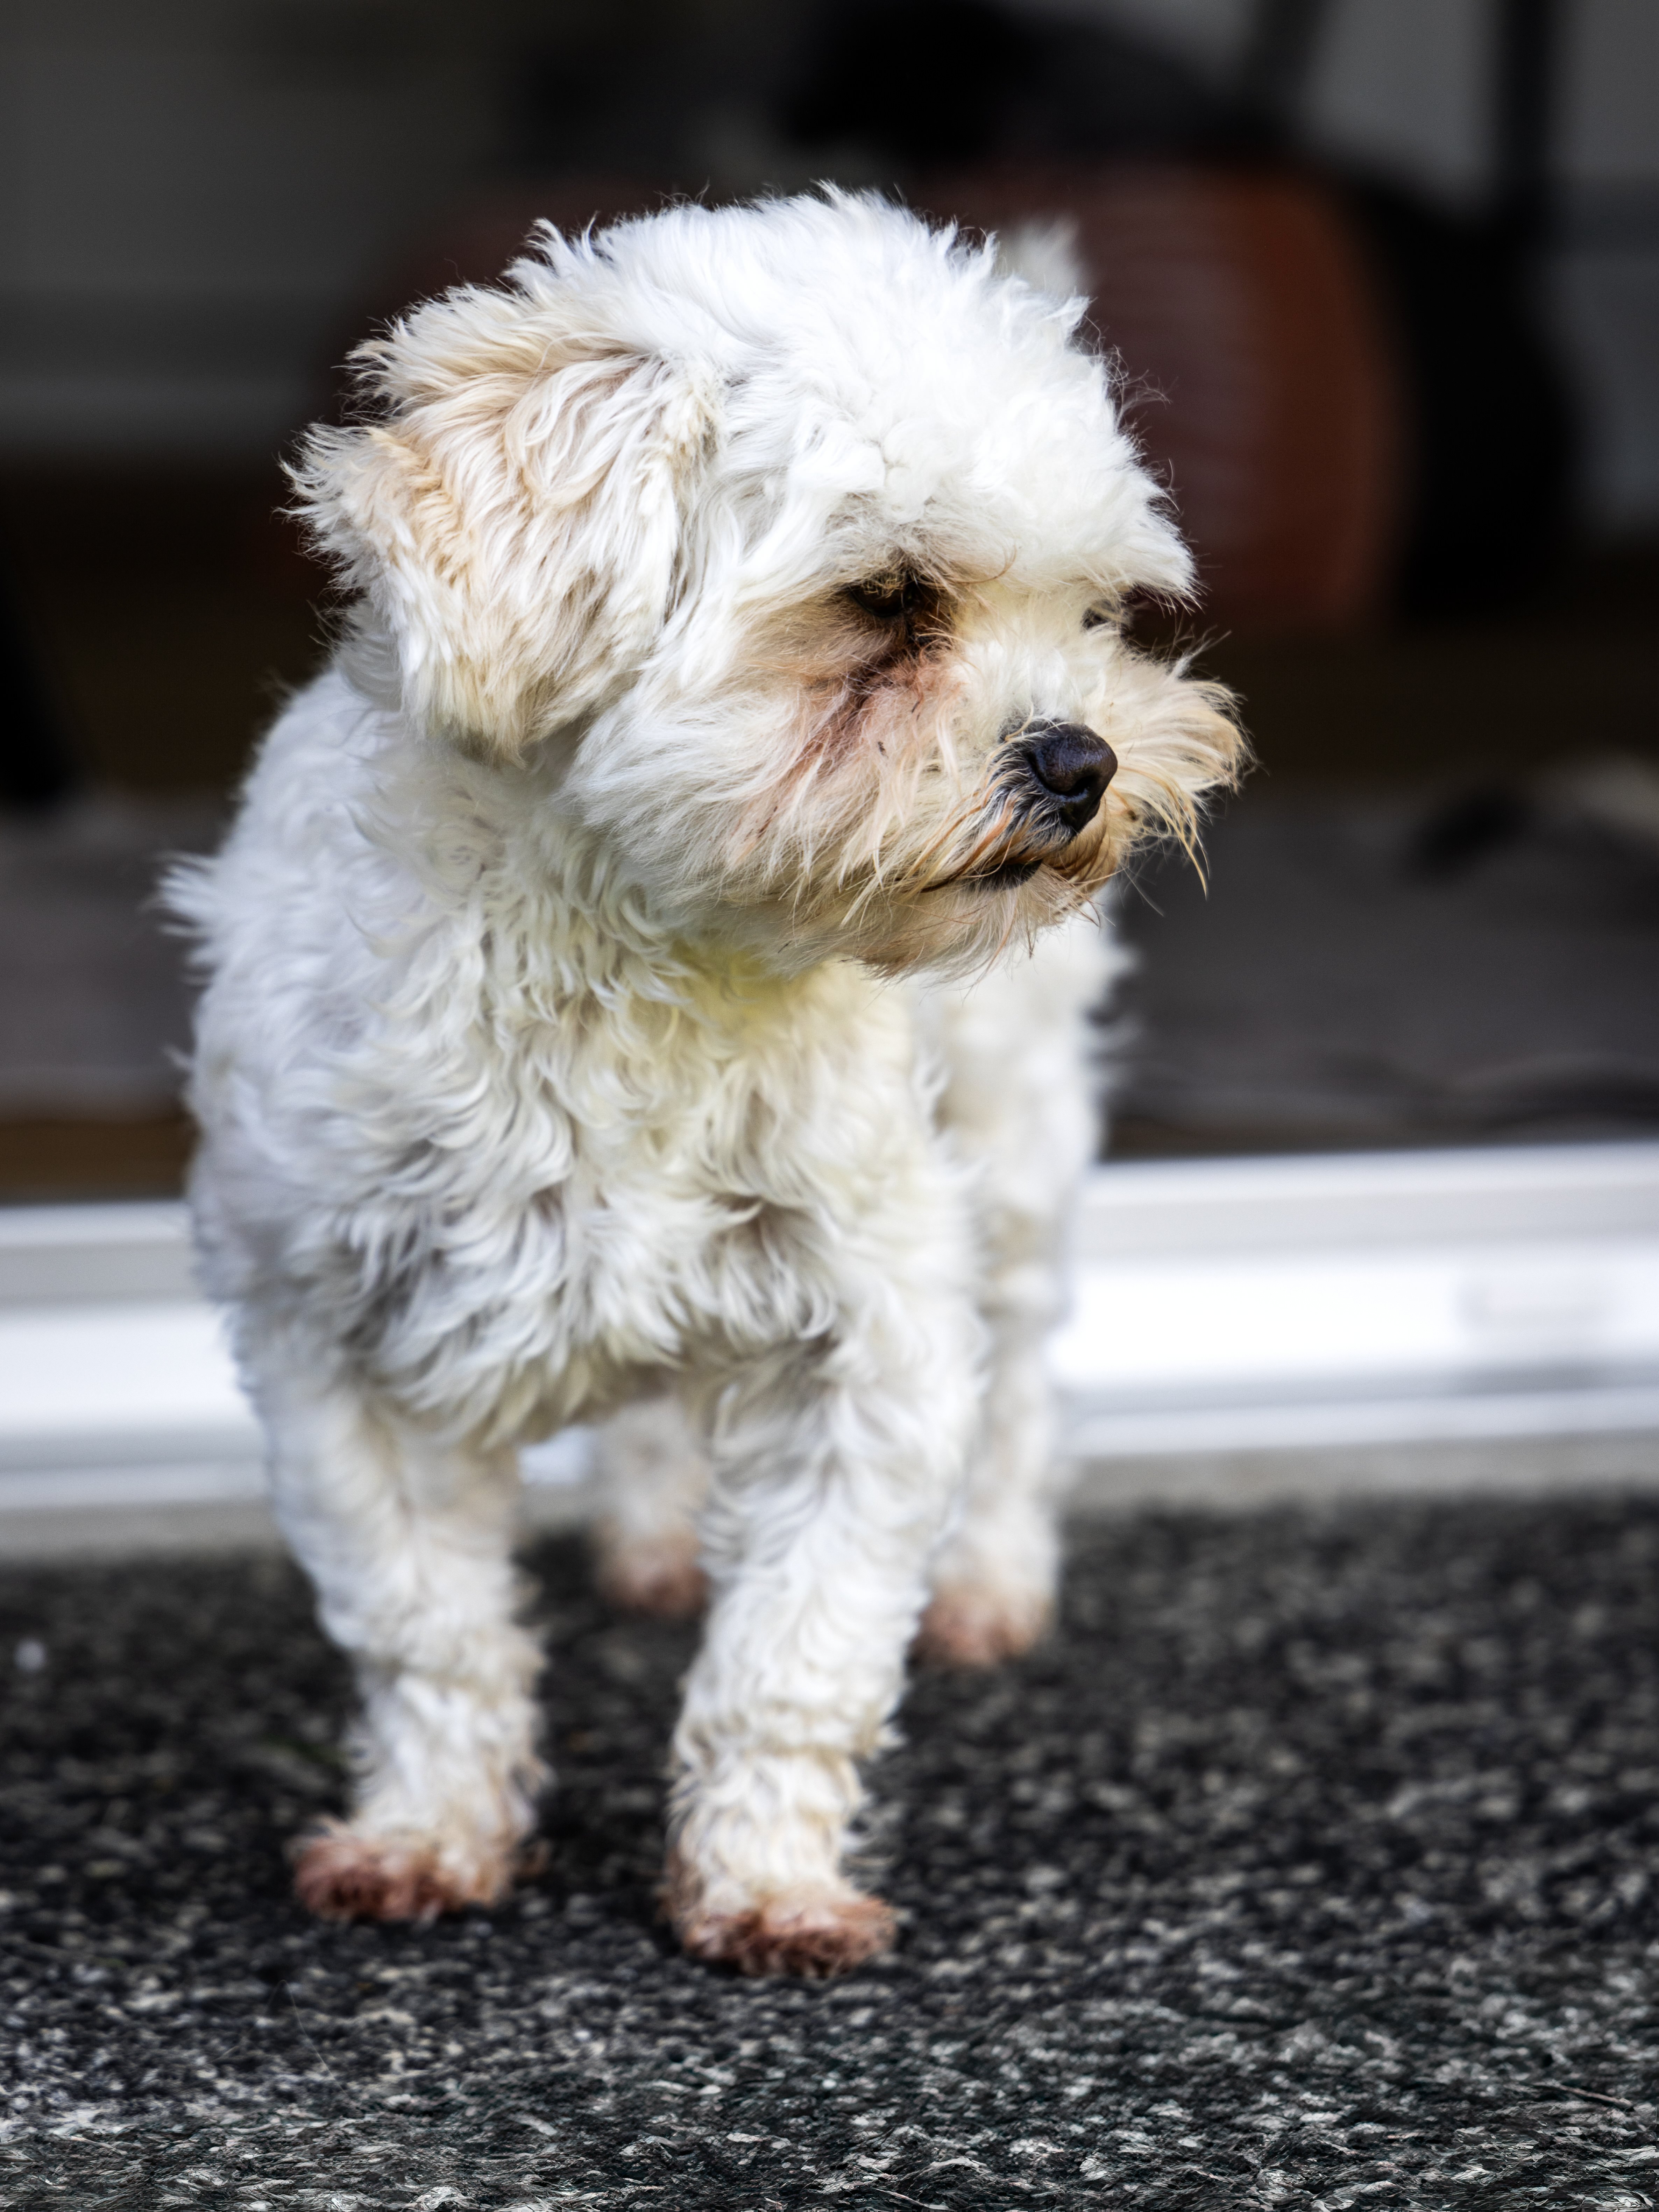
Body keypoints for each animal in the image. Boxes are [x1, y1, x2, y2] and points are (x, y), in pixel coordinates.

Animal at [172, 191, 1240, 1976]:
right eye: (887, 599)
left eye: (1094, 613)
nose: (1081, 757)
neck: (632, 950)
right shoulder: (328, 1336)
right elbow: (425, 1629)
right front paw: (426, 1833)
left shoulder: (870, 1338)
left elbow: (798, 1649)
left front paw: (764, 1881)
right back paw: (659, 1536)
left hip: (1011, 1153)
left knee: (1026, 1370)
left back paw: (989, 1578)